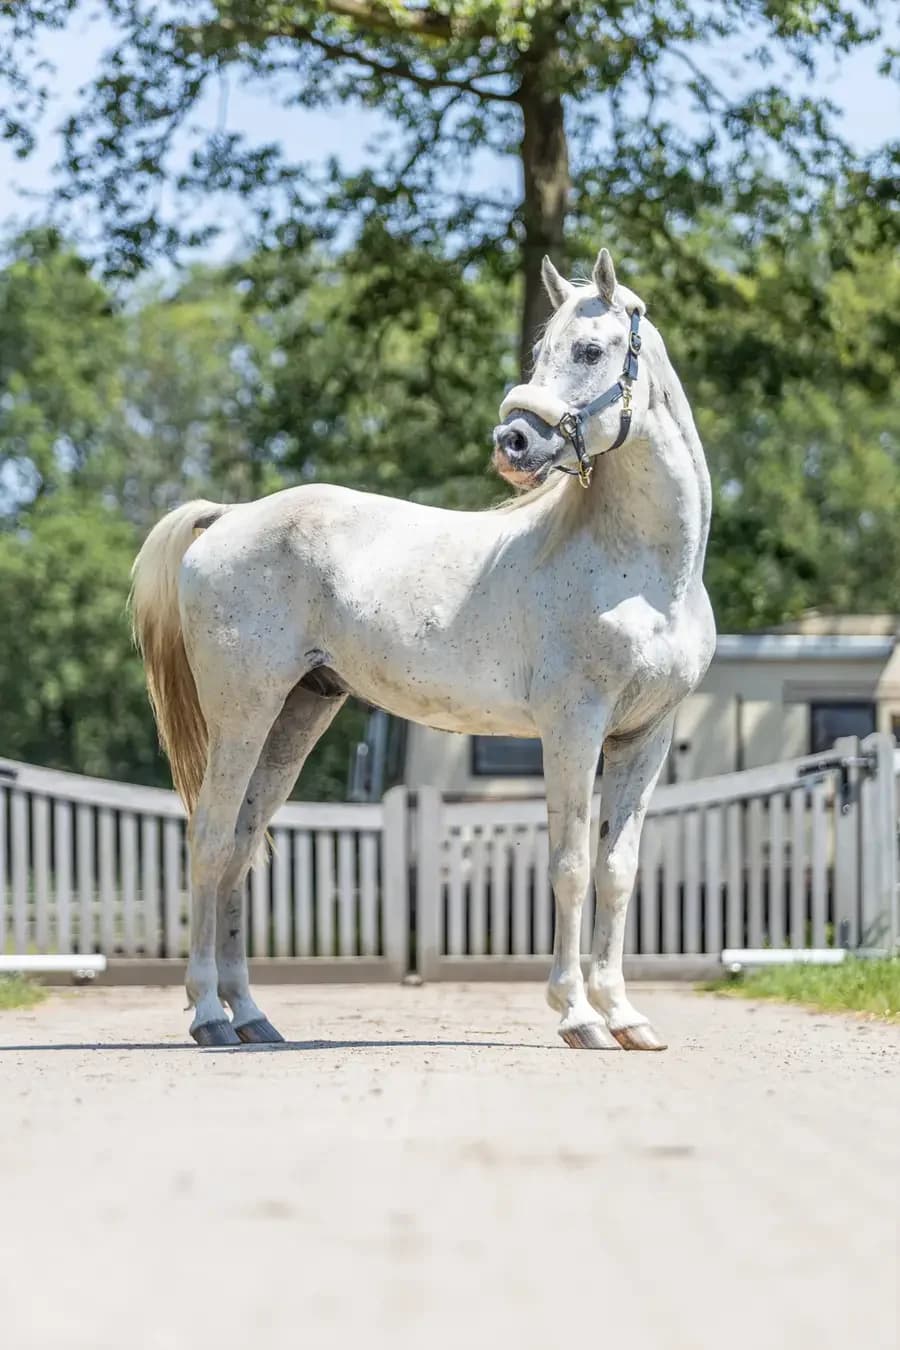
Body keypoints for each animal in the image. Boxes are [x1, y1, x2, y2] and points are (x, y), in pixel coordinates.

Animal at [130, 247, 715, 1050]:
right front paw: (577, 1016)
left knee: (244, 846)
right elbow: (570, 864)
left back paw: (252, 1015)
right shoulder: (574, 727)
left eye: (590, 350)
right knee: (213, 840)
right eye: (543, 350)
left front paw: (626, 1018)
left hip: (297, 715)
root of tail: (228, 517)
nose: (514, 444)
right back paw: (211, 1016)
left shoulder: (644, 736)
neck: (644, 570)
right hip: (242, 712)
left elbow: (617, 870)